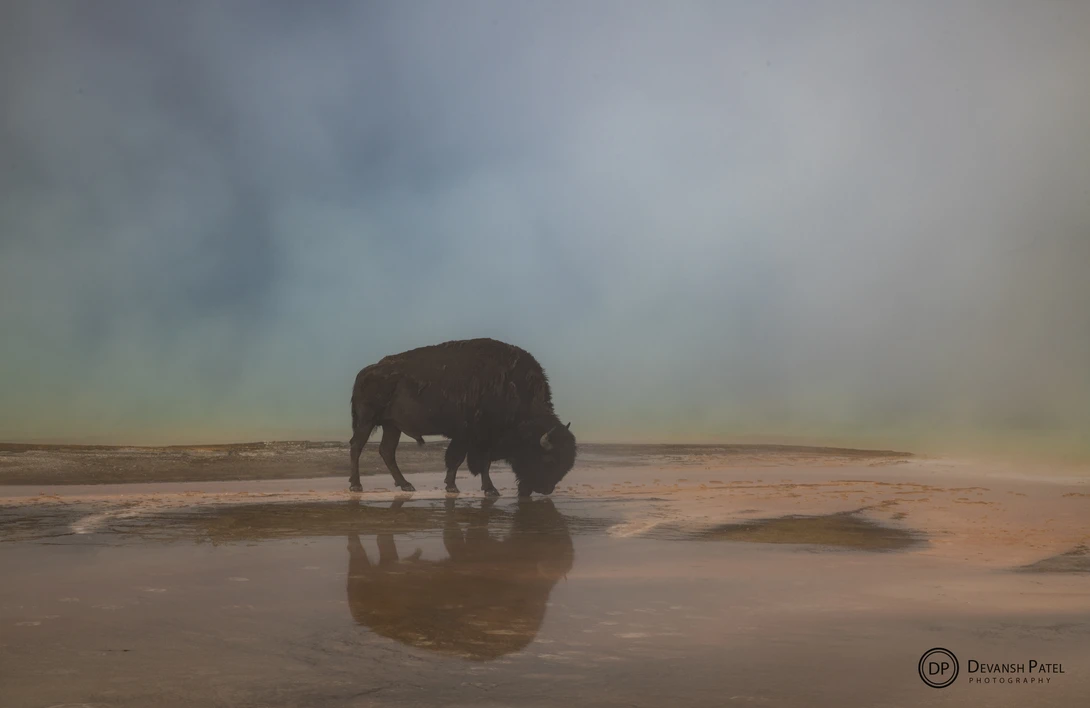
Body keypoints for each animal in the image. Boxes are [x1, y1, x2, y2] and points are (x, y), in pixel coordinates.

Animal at [349, 338, 577, 497]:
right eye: (549, 460)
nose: (545, 490)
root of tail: (365, 372)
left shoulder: (480, 440)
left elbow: (474, 463)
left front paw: (472, 487)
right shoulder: (472, 437)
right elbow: (463, 460)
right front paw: (469, 488)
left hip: (392, 426)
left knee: (387, 451)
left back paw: (406, 485)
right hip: (367, 421)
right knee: (357, 446)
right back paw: (356, 485)